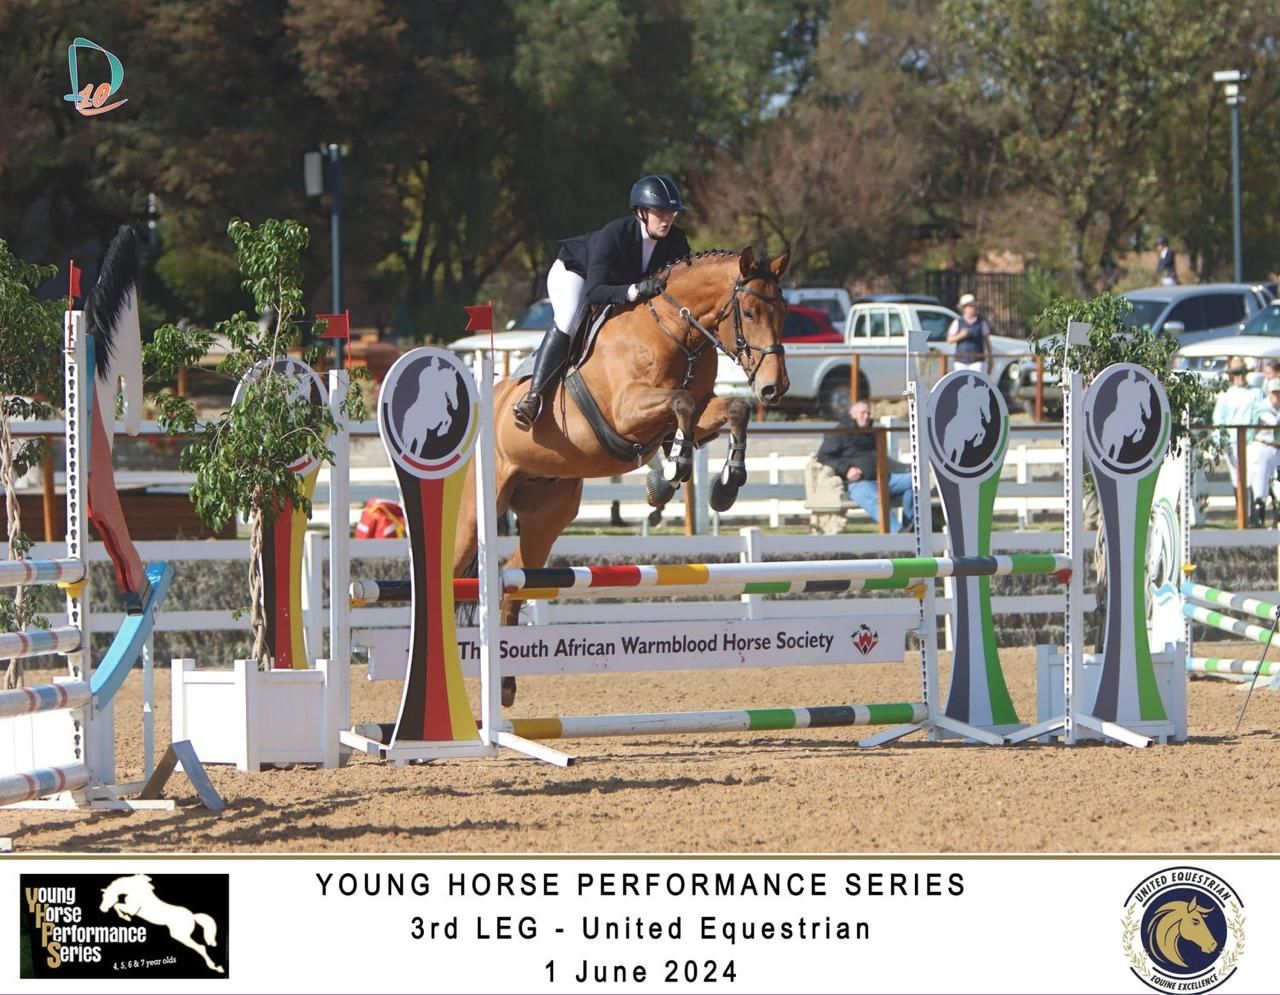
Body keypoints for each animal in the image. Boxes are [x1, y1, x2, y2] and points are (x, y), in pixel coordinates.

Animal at [454, 246, 790, 703]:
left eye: (784, 311)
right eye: (751, 312)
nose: (776, 388)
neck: (676, 334)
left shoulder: (700, 410)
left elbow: (730, 410)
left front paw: (724, 485)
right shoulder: (628, 411)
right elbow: (681, 405)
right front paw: (670, 475)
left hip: (546, 517)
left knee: (514, 580)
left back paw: (505, 686)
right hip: (477, 511)